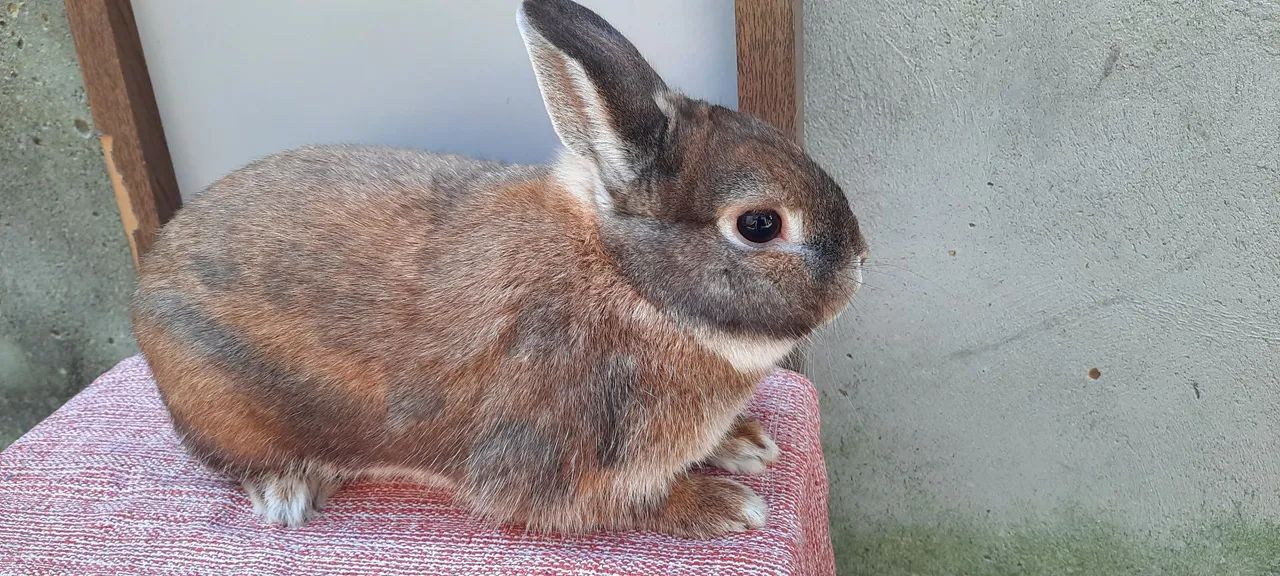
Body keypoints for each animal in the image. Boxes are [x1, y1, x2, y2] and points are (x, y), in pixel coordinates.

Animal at [131, 0, 868, 538]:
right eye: (759, 225)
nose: (860, 263)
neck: (632, 284)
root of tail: (149, 283)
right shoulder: (555, 466)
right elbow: (622, 505)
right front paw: (729, 505)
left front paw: (745, 443)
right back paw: (287, 491)